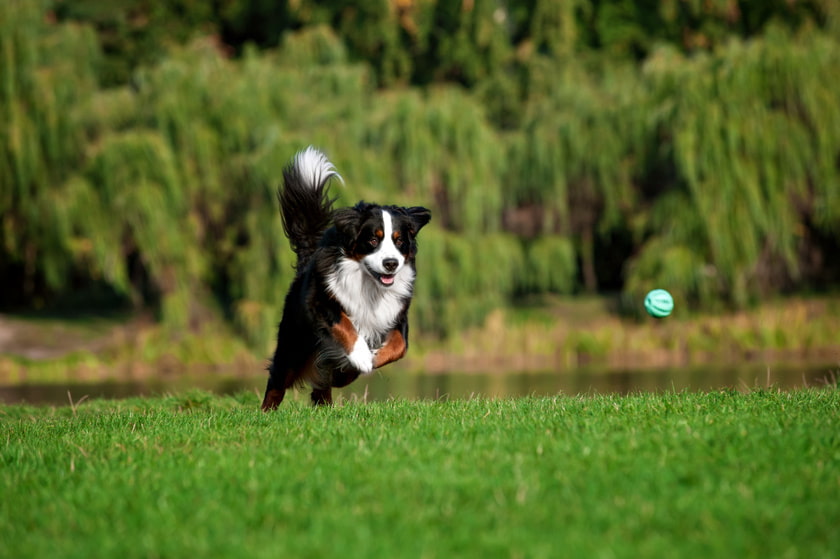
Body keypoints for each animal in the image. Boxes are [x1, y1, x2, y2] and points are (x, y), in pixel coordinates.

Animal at [260, 148, 434, 412]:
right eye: (373, 240)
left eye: (399, 240)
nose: (391, 263)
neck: (370, 286)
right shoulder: (321, 302)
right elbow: (346, 326)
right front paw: (362, 356)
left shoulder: (396, 313)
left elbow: (399, 346)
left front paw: (371, 358)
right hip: (294, 342)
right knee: (277, 380)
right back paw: (266, 412)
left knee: (323, 382)